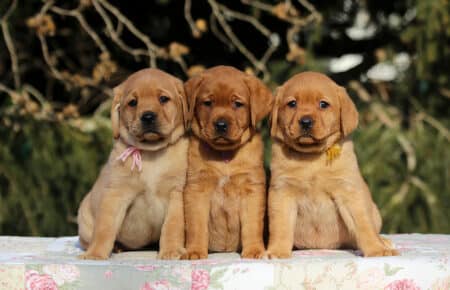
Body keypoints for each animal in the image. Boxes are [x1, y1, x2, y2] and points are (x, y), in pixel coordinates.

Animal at [77, 68, 188, 260]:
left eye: (163, 99)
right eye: (133, 103)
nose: (148, 116)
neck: (151, 153)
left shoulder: (176, 193)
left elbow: (172, 227)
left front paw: (171, 250)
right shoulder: (116, 193)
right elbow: (104, 228)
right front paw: (96, 253)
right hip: (84, 219)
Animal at [181, 66, 272, 260]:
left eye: (237, 104)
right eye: (208, 103)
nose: (221, 124)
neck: (224, 155)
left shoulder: (252, 190)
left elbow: (252, 226)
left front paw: (254, 251)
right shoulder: (196, 190)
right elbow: (196, 226)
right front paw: (194, 251)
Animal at [268, 71, 398, 258]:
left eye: (323, 104)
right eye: (292, 103)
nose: (305, 121)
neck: (312, 158)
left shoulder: (349, 192)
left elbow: (364, 226)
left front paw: (376, 249)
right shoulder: (282, 192)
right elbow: (280, 227)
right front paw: (277, 251)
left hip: (375, 212)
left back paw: (383, 242)